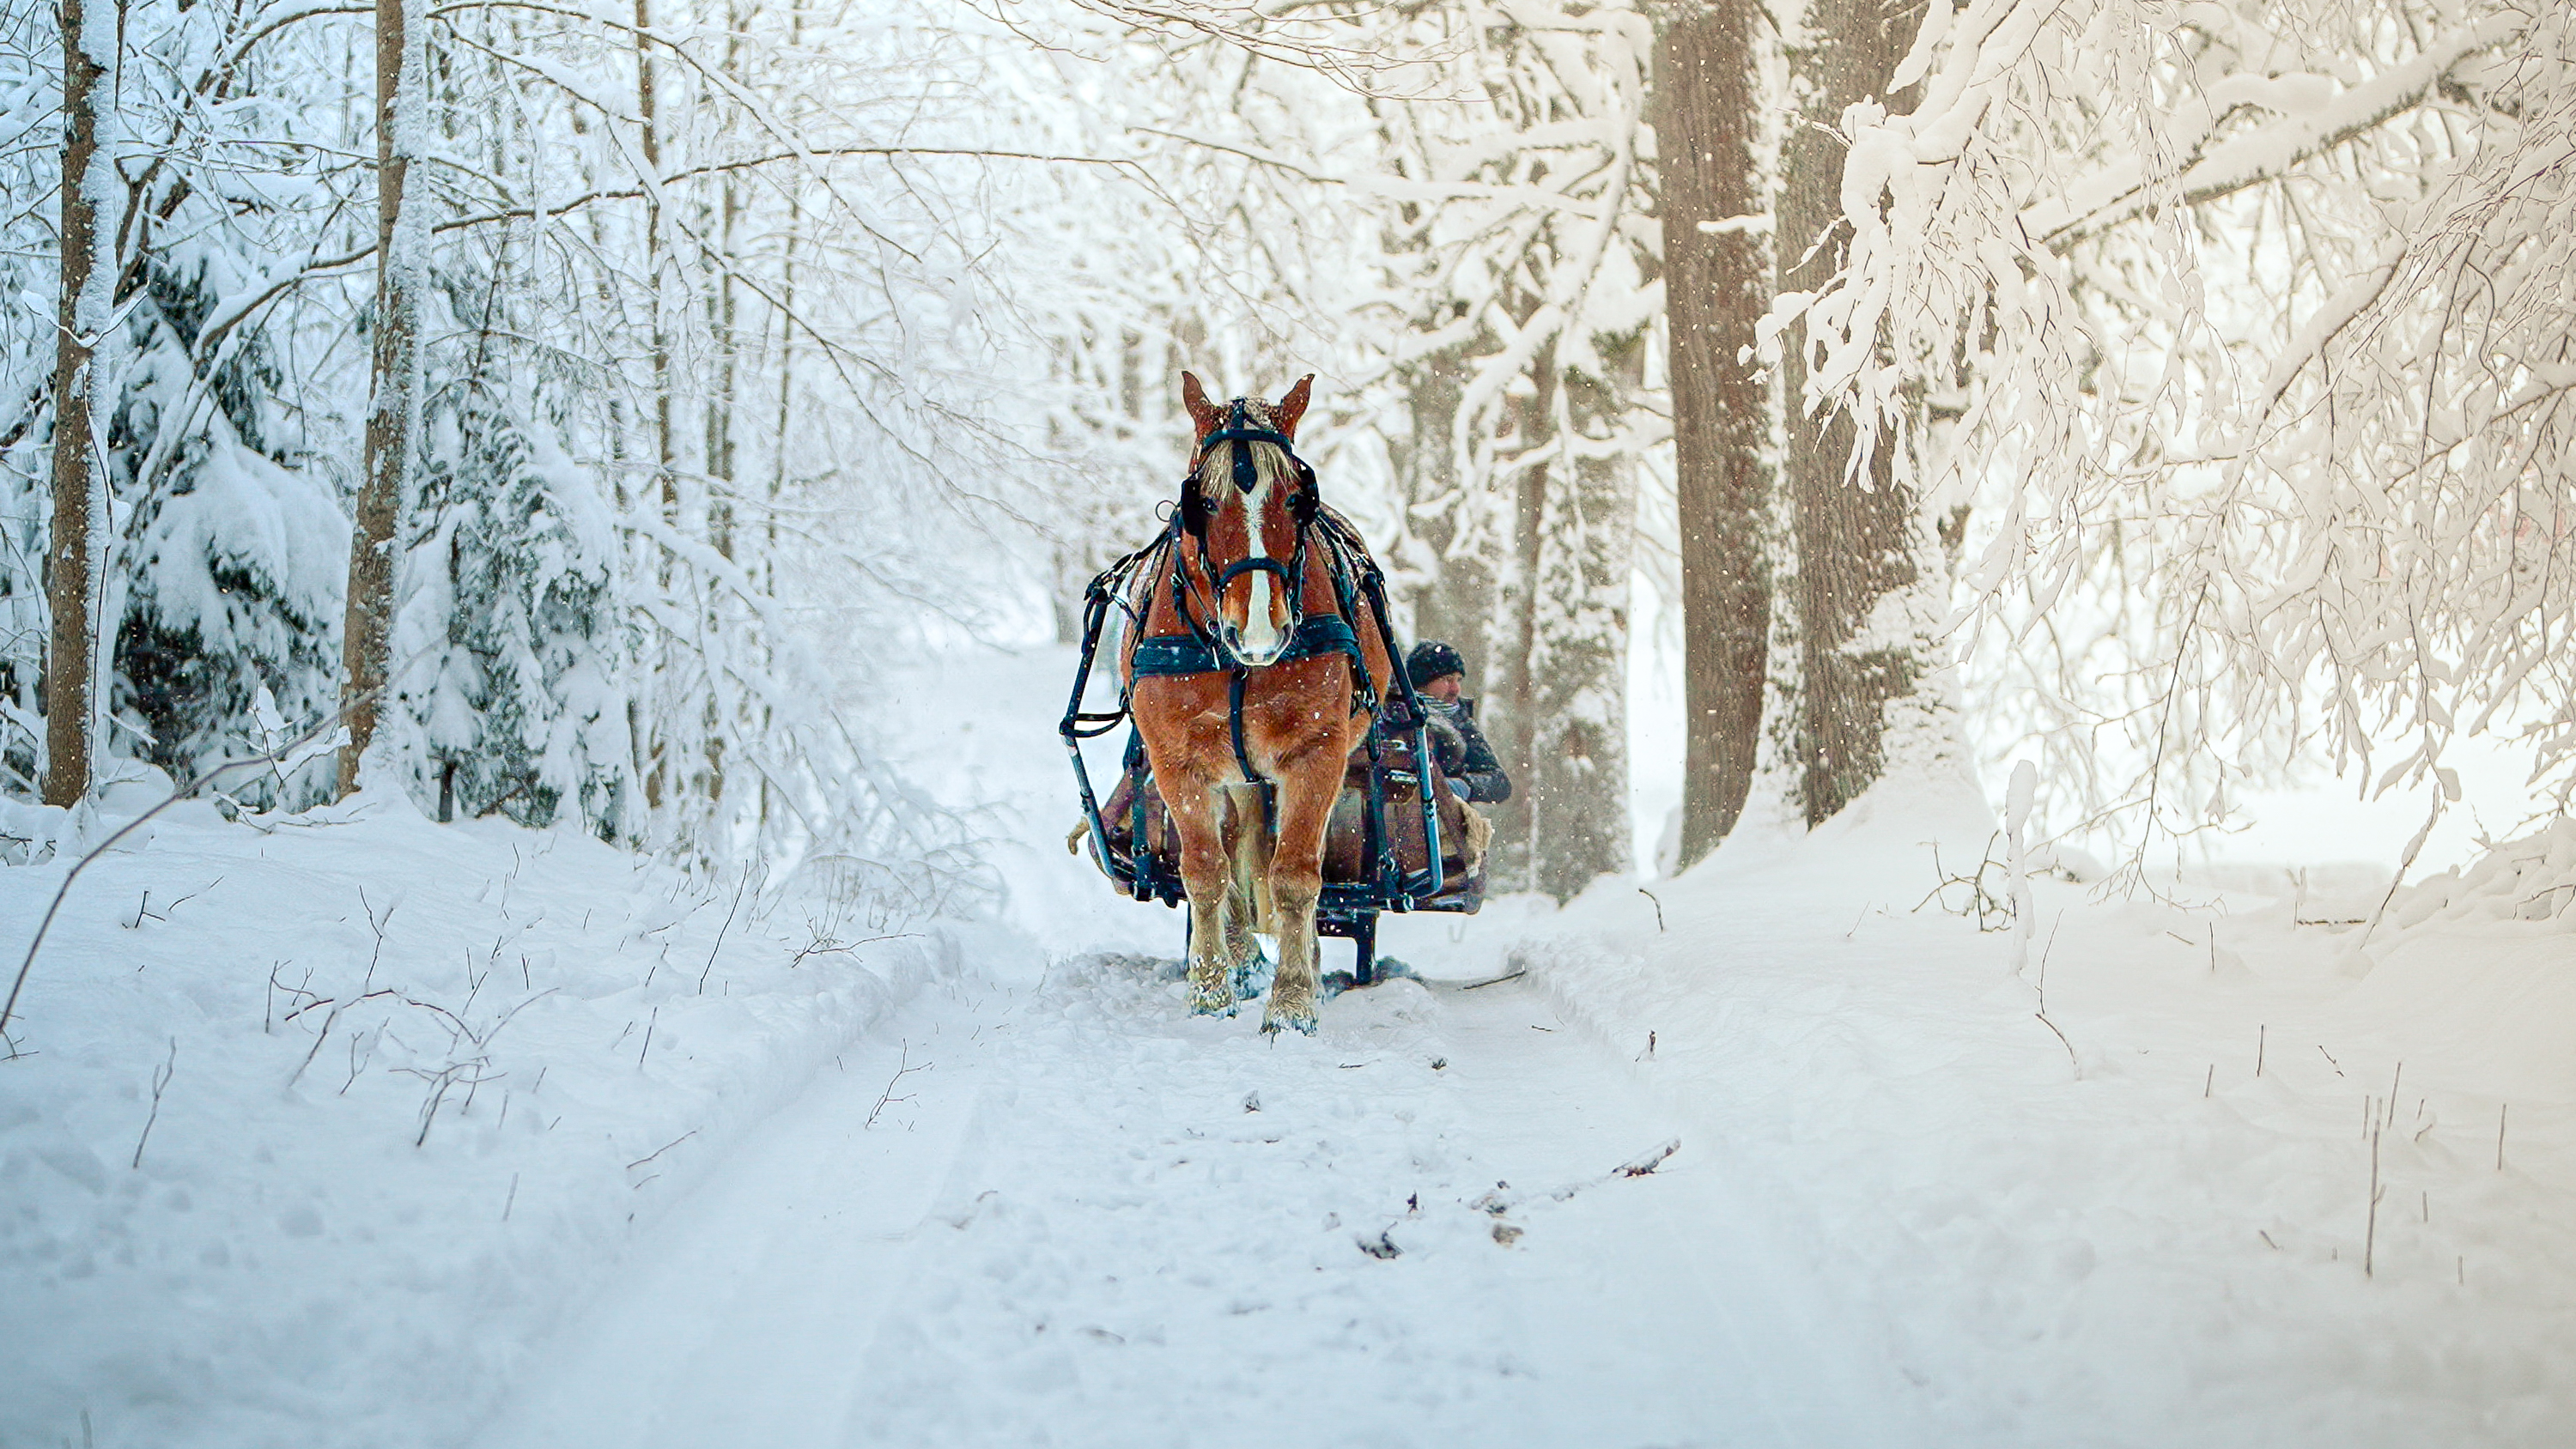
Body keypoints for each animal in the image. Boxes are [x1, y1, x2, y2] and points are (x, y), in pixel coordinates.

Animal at [1128, 373, 1401, 1029]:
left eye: (1297, 499)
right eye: (1201, 501)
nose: (1256, 631)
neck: (1236, 664)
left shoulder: (1317, 751)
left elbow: (1296, 875)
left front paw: (1294, 1001)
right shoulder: (1177, 761)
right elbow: (1206, 870)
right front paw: (1210, 991)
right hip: (1231, 772)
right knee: (1233, 845)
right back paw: (1241, 955)